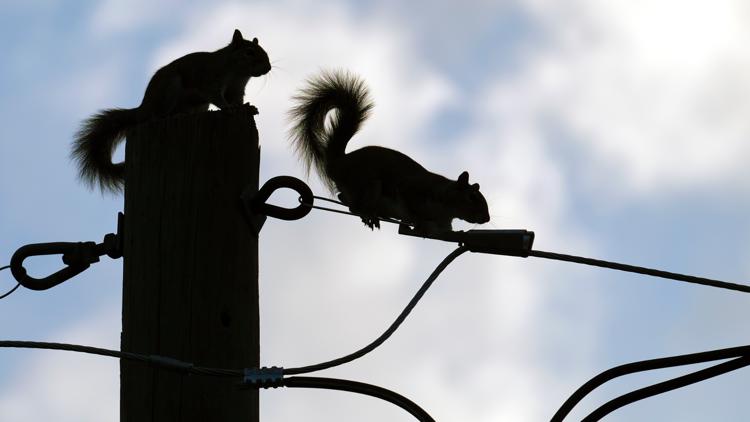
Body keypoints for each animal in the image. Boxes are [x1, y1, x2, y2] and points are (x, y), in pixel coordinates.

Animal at [71, 29, 271, 193]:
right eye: (249, 52)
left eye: (264, 51)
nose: (268, 68)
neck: (237, 72)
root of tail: (144, 107)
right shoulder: (211, 81)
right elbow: (218, 98)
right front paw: (229, 108)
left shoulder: (237, 90)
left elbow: (239, 101)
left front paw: (247, 108)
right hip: (170, 89)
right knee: (159, 116)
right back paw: (176, 114)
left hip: (197, 104)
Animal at [288, 70, 490, 232]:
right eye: (472, 197)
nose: (487, 218)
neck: (446, 205)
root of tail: (338, 163)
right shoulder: (414, 191)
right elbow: (412, 209)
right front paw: (418, 222)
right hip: (368, 184)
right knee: (353, 204)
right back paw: (370, 215)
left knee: (344, 198)